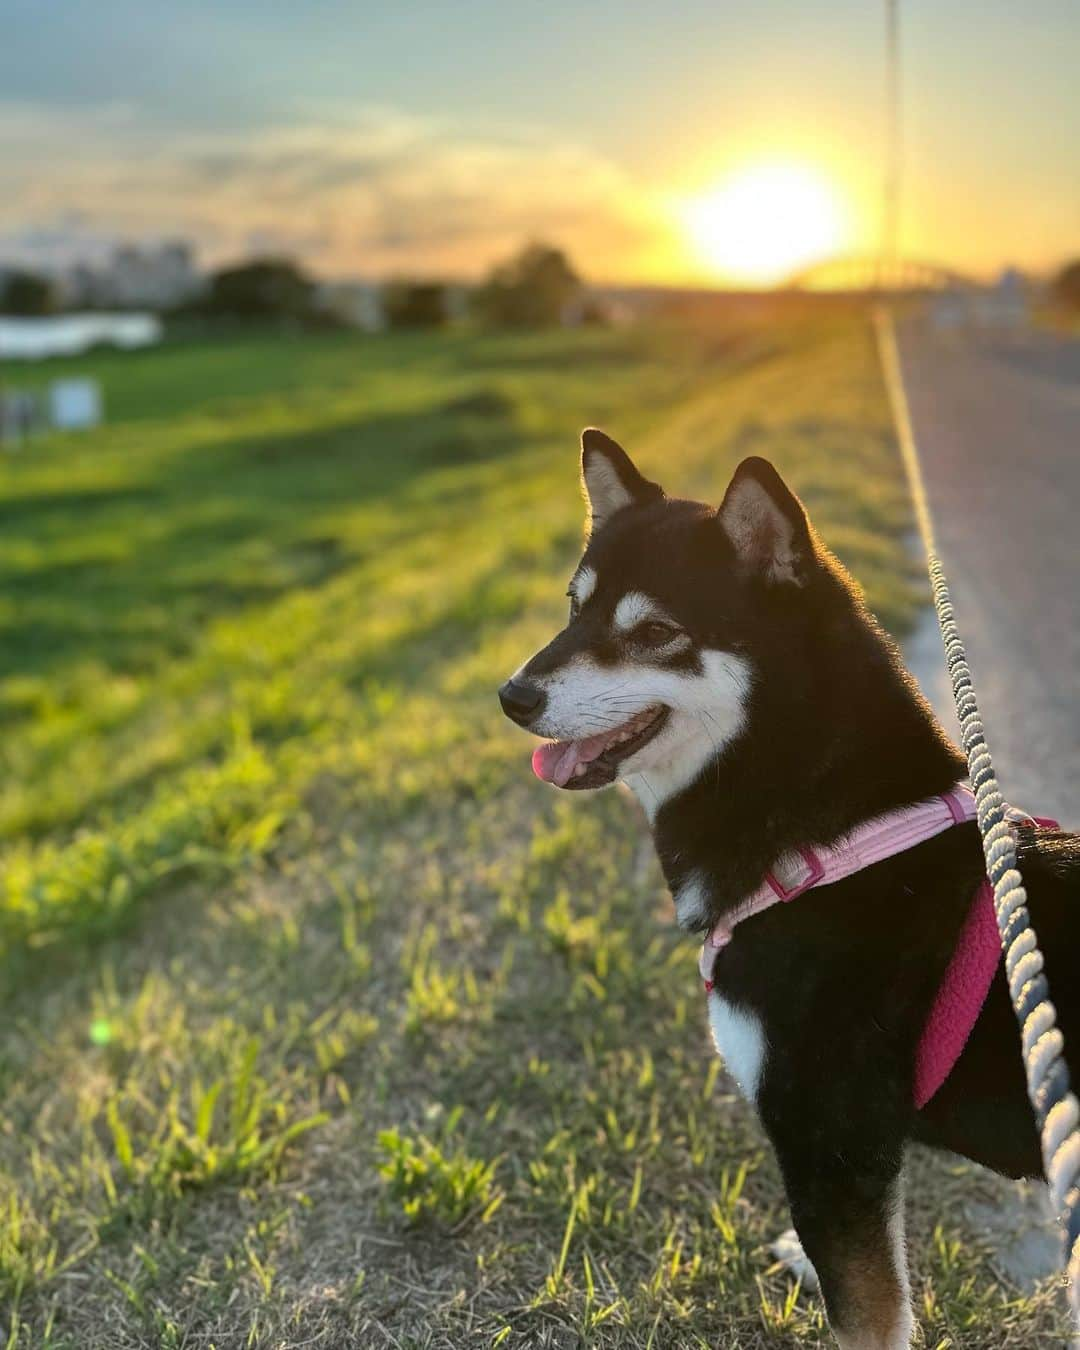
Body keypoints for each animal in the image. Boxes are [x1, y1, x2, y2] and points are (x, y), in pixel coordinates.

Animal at [496, 429, 1080, 1350]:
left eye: (655, 631)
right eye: (573, 606)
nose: (511, 695)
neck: (822, 844)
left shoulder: (827, 1140)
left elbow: (865, 1314)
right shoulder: (849, 1164)